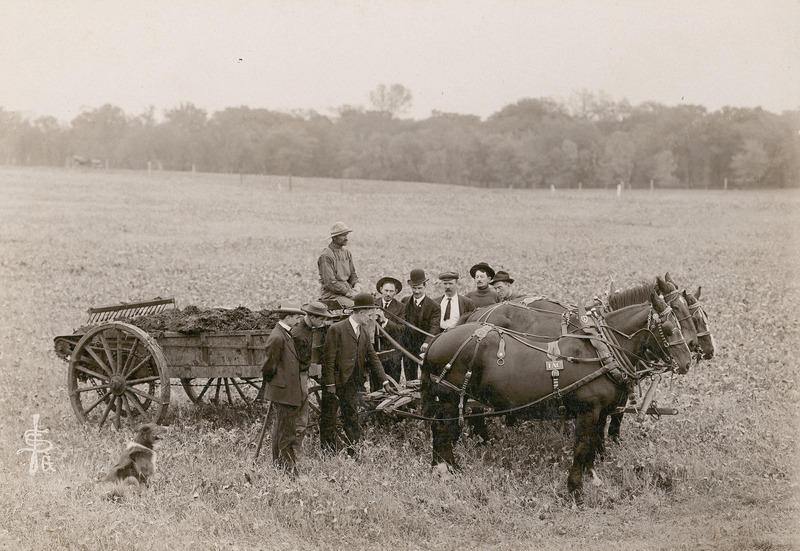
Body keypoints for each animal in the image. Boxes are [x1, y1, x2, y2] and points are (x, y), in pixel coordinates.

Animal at [418, 286, 692, 502]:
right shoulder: (588, 411)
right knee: (443, 429)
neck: (600, 352)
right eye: (669, 328)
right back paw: (446, 468)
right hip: (450, 396)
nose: (687, 361)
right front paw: (575, 490)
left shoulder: (601, 412)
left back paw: (445, 467)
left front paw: (592, 477)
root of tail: (437, 340)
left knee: (442, 428)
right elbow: (582, 447)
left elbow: (593, 444)